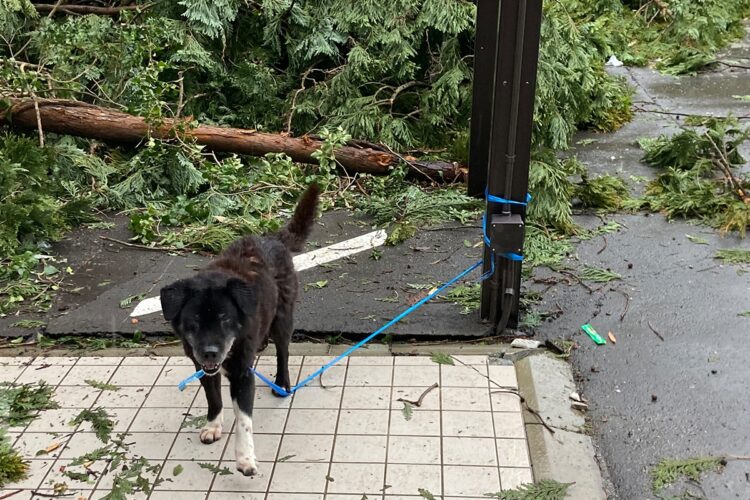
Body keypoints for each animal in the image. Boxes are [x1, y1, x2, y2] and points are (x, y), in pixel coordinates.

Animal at [160, 185, 318, 476]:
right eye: (193, 321)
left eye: (225, 319)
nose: (211, 352)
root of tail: (273, 238)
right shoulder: (202, 367)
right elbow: (213, 399)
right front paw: (213, 425)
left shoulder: (243, 374)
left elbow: (243, 420)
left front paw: (245, 458)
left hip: (283, 317)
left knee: (283, 351)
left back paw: (282, 382)